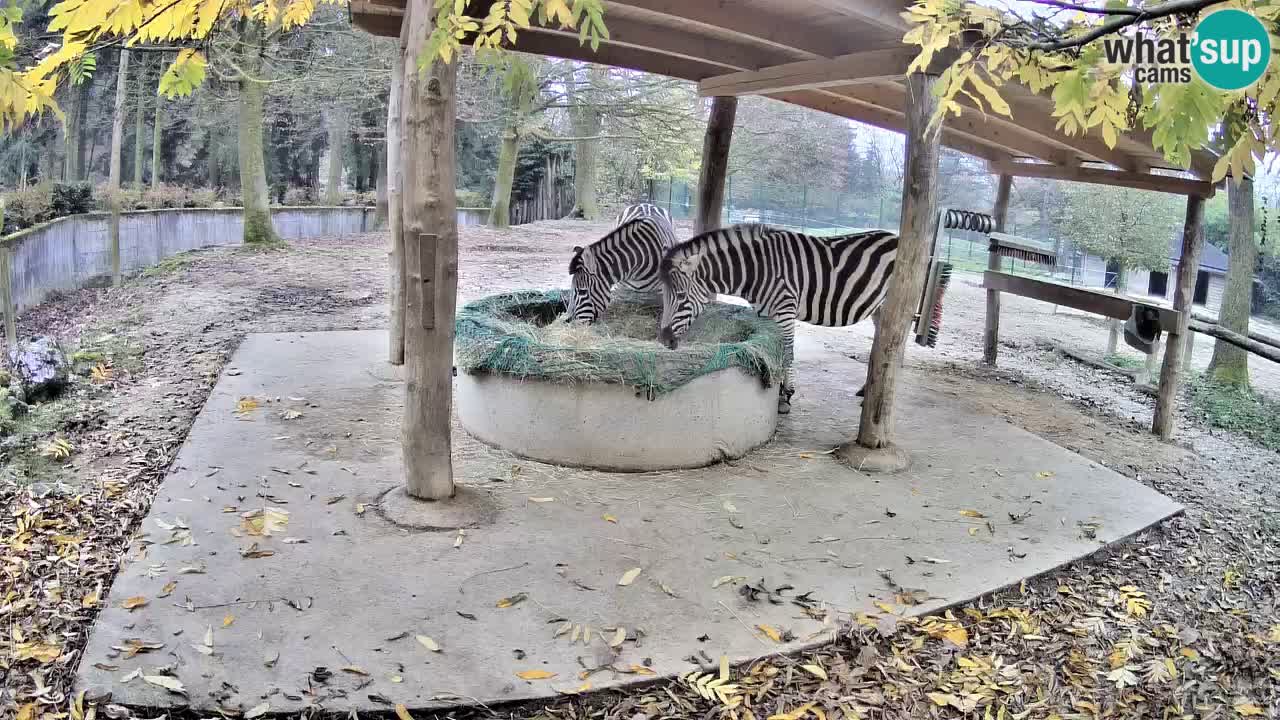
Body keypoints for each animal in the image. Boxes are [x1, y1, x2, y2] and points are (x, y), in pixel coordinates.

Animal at [657, 224, 898, 414]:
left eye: (681, 296)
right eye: (664, 294)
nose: (663, 340)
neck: (758, 269)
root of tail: (896, 237)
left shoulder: (785, 308)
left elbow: (788, 350)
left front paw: (786, 396)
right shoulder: (765, 311)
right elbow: (777, 348)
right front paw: (780, 390)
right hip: (879, 310)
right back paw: (866, 392)